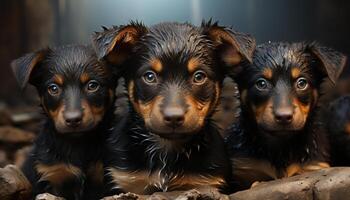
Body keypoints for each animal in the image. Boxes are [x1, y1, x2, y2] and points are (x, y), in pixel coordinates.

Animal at [93, 21, 256, 195]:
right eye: (149, 76)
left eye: (199, 76)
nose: (173, 117)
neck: (167, 148)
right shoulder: (124, 181)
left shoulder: (206, 183)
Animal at [226, 41, 346, 189]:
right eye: (261, 83)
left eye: (302, 83)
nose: (284, 116)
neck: (281, 146)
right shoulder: (243, 171)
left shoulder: (313, 166)